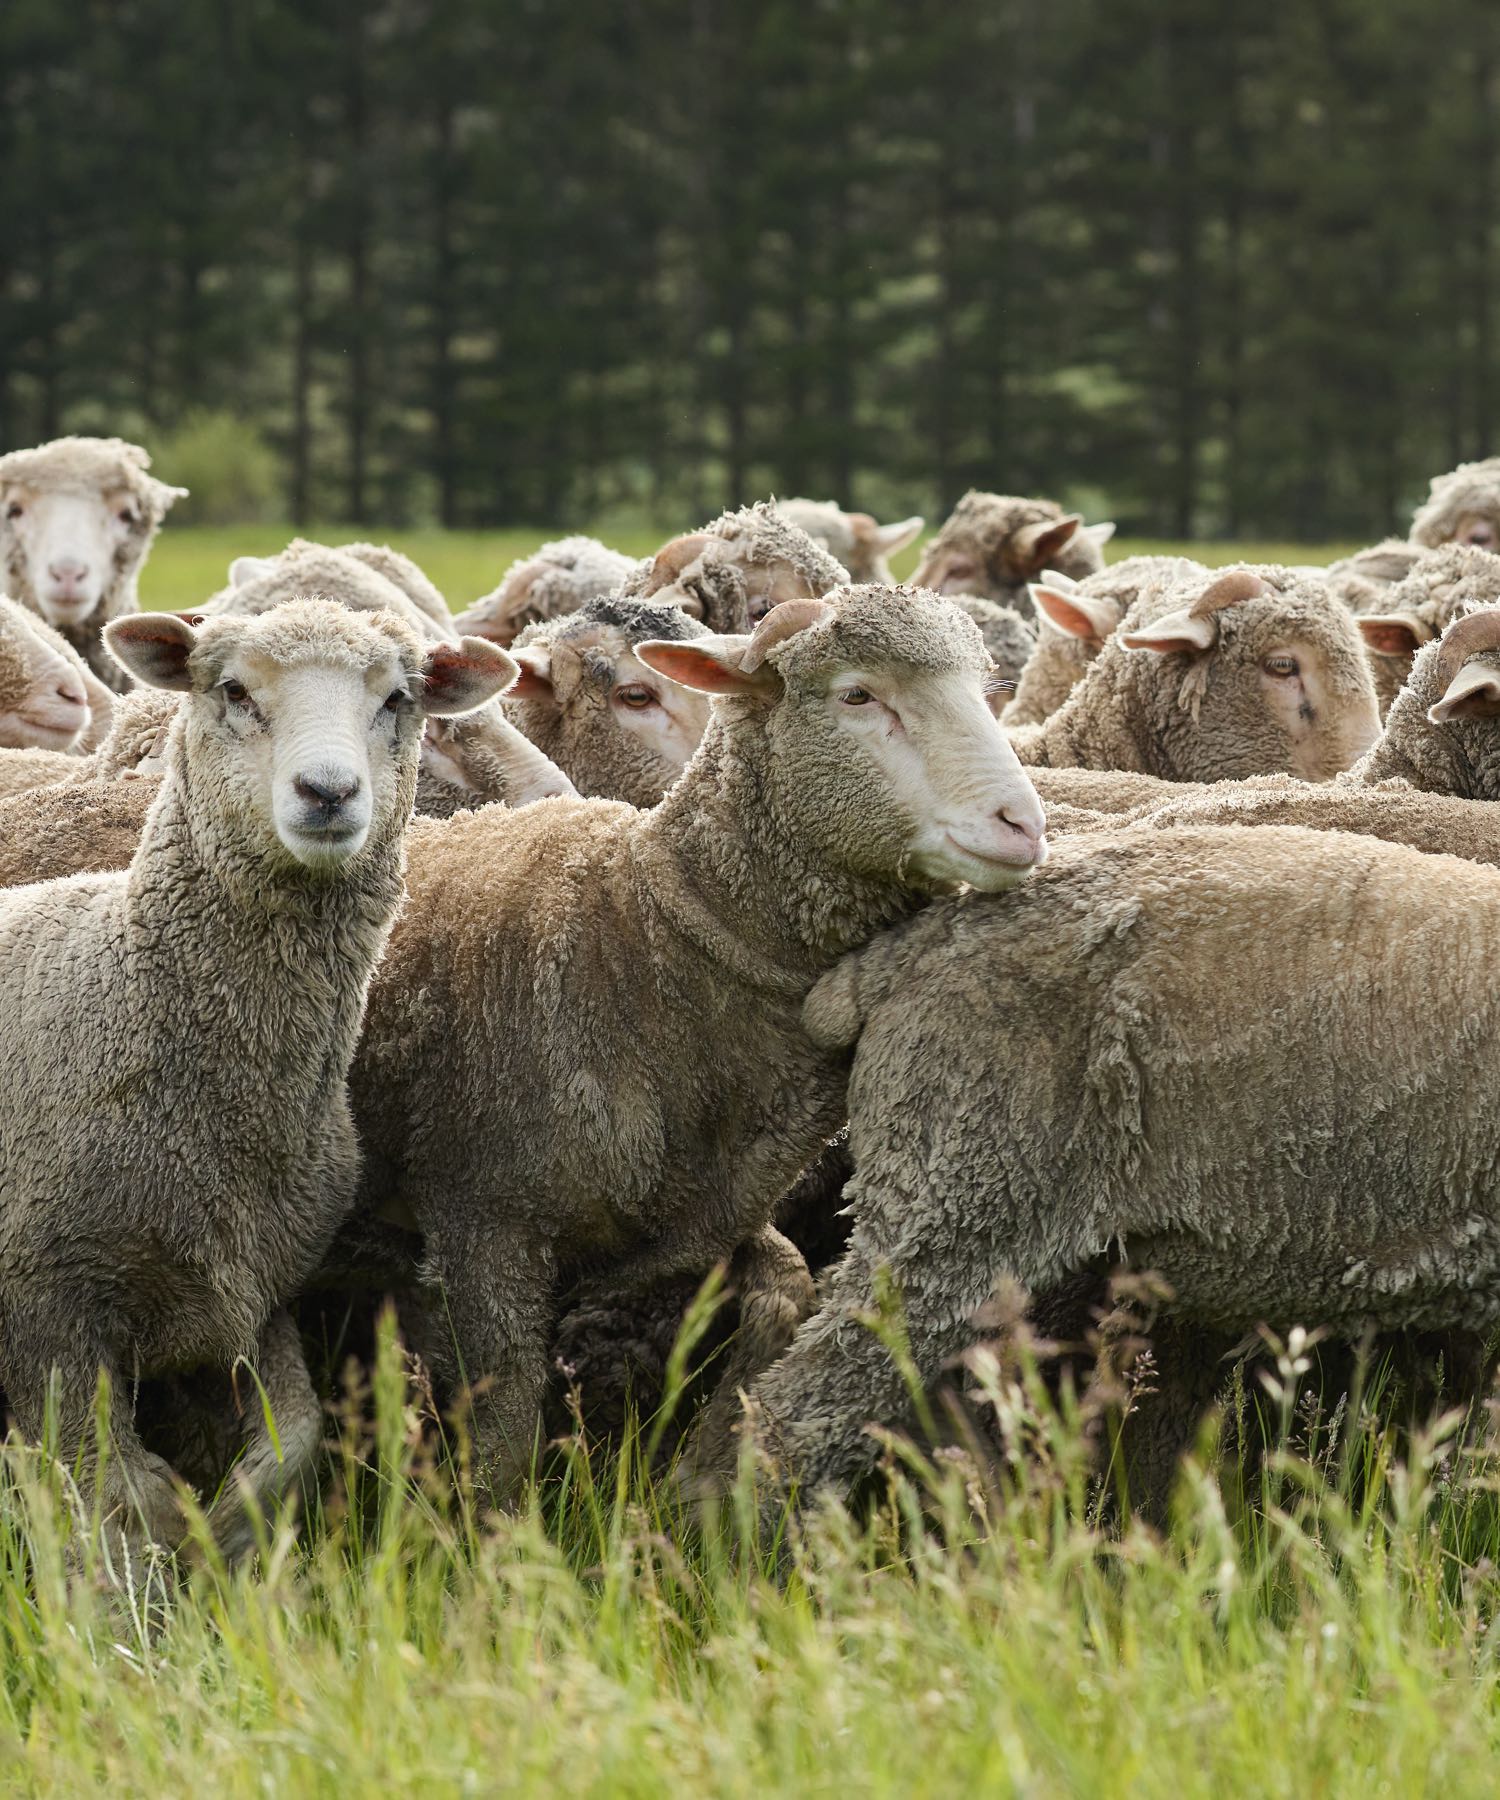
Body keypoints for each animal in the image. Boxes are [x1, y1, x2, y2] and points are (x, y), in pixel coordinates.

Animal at [0, 599, 516, 1559]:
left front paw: (235, 1539)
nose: (328, 792)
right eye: (234, 691)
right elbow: (115, 1491)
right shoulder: (47, 1311)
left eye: (398, 699)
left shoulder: (259, 1289)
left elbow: (295, 1441)